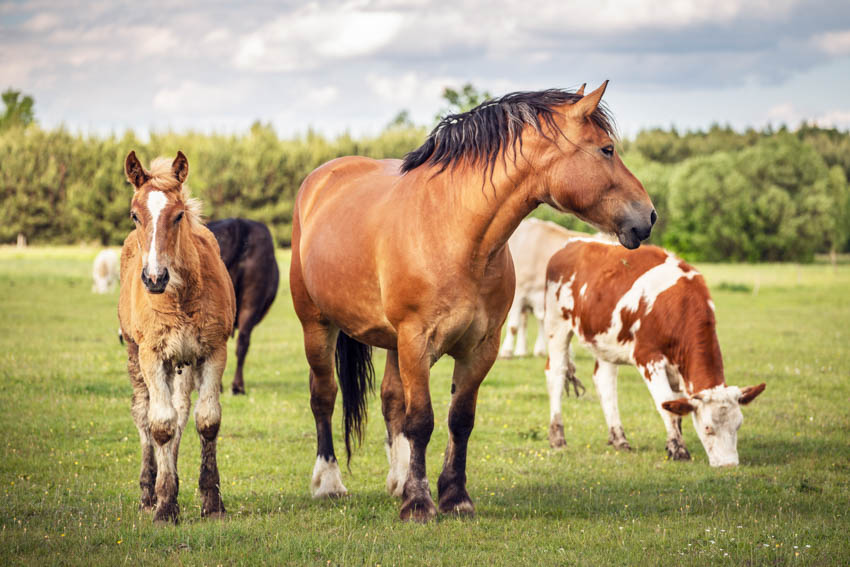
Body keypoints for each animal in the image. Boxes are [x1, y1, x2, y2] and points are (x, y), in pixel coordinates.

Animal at [117, 150, 234, 524]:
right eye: (135, 215)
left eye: (179, 214)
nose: (154, 278)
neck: (179, 295)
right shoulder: (152, 354)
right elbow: (160, 425)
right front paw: (165, 504)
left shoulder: (214, 350)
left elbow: (206, 420)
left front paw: (211, 501)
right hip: (135, 354)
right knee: (144, 413)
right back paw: (148, 492)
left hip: (183, 362)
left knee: (181, 412)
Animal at [288, 81, 652, 524]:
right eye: (606, 149)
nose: (648, 216)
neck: (456, 233)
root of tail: (322, 178)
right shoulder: (417, 341)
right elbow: (421, 420)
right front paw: (419, 504)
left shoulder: (481, 347)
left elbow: (458, 420)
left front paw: (453, 496)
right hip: (317, 325)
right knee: (324, 395)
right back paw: (328, 483)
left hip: (391, 342)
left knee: (391, 401)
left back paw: (398, 479)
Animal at [544, 239, 760, 466]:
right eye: (708, 428)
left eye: (738, 424)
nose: (729, 464)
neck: (679, 307)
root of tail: (573, 242)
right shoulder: (648, 358)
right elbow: (666, 406)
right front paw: (678, 450)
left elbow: (675, 408)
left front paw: (673, 444)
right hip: (556, 325)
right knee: (556, 374)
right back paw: (557, 438)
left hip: (604, 340)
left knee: (604, 382)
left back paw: (619, 439)